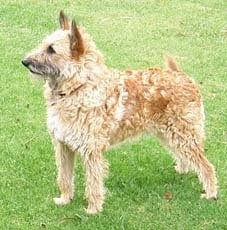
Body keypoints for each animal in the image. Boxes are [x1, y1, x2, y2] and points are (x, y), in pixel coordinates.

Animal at [22, 11, 217, 215]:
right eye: (44, 45)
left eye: (51, 50)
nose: (25, 61)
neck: (78, 87)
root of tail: (183, 76)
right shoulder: (63, 145)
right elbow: (64, 177)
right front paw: (65, 199)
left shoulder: (91, 150)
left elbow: (93, 183)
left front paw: (93, 209)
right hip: (168, 134)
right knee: (185, 157)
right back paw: (182, 169)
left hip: (184, 134)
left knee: (207, 166)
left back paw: (210, 193)